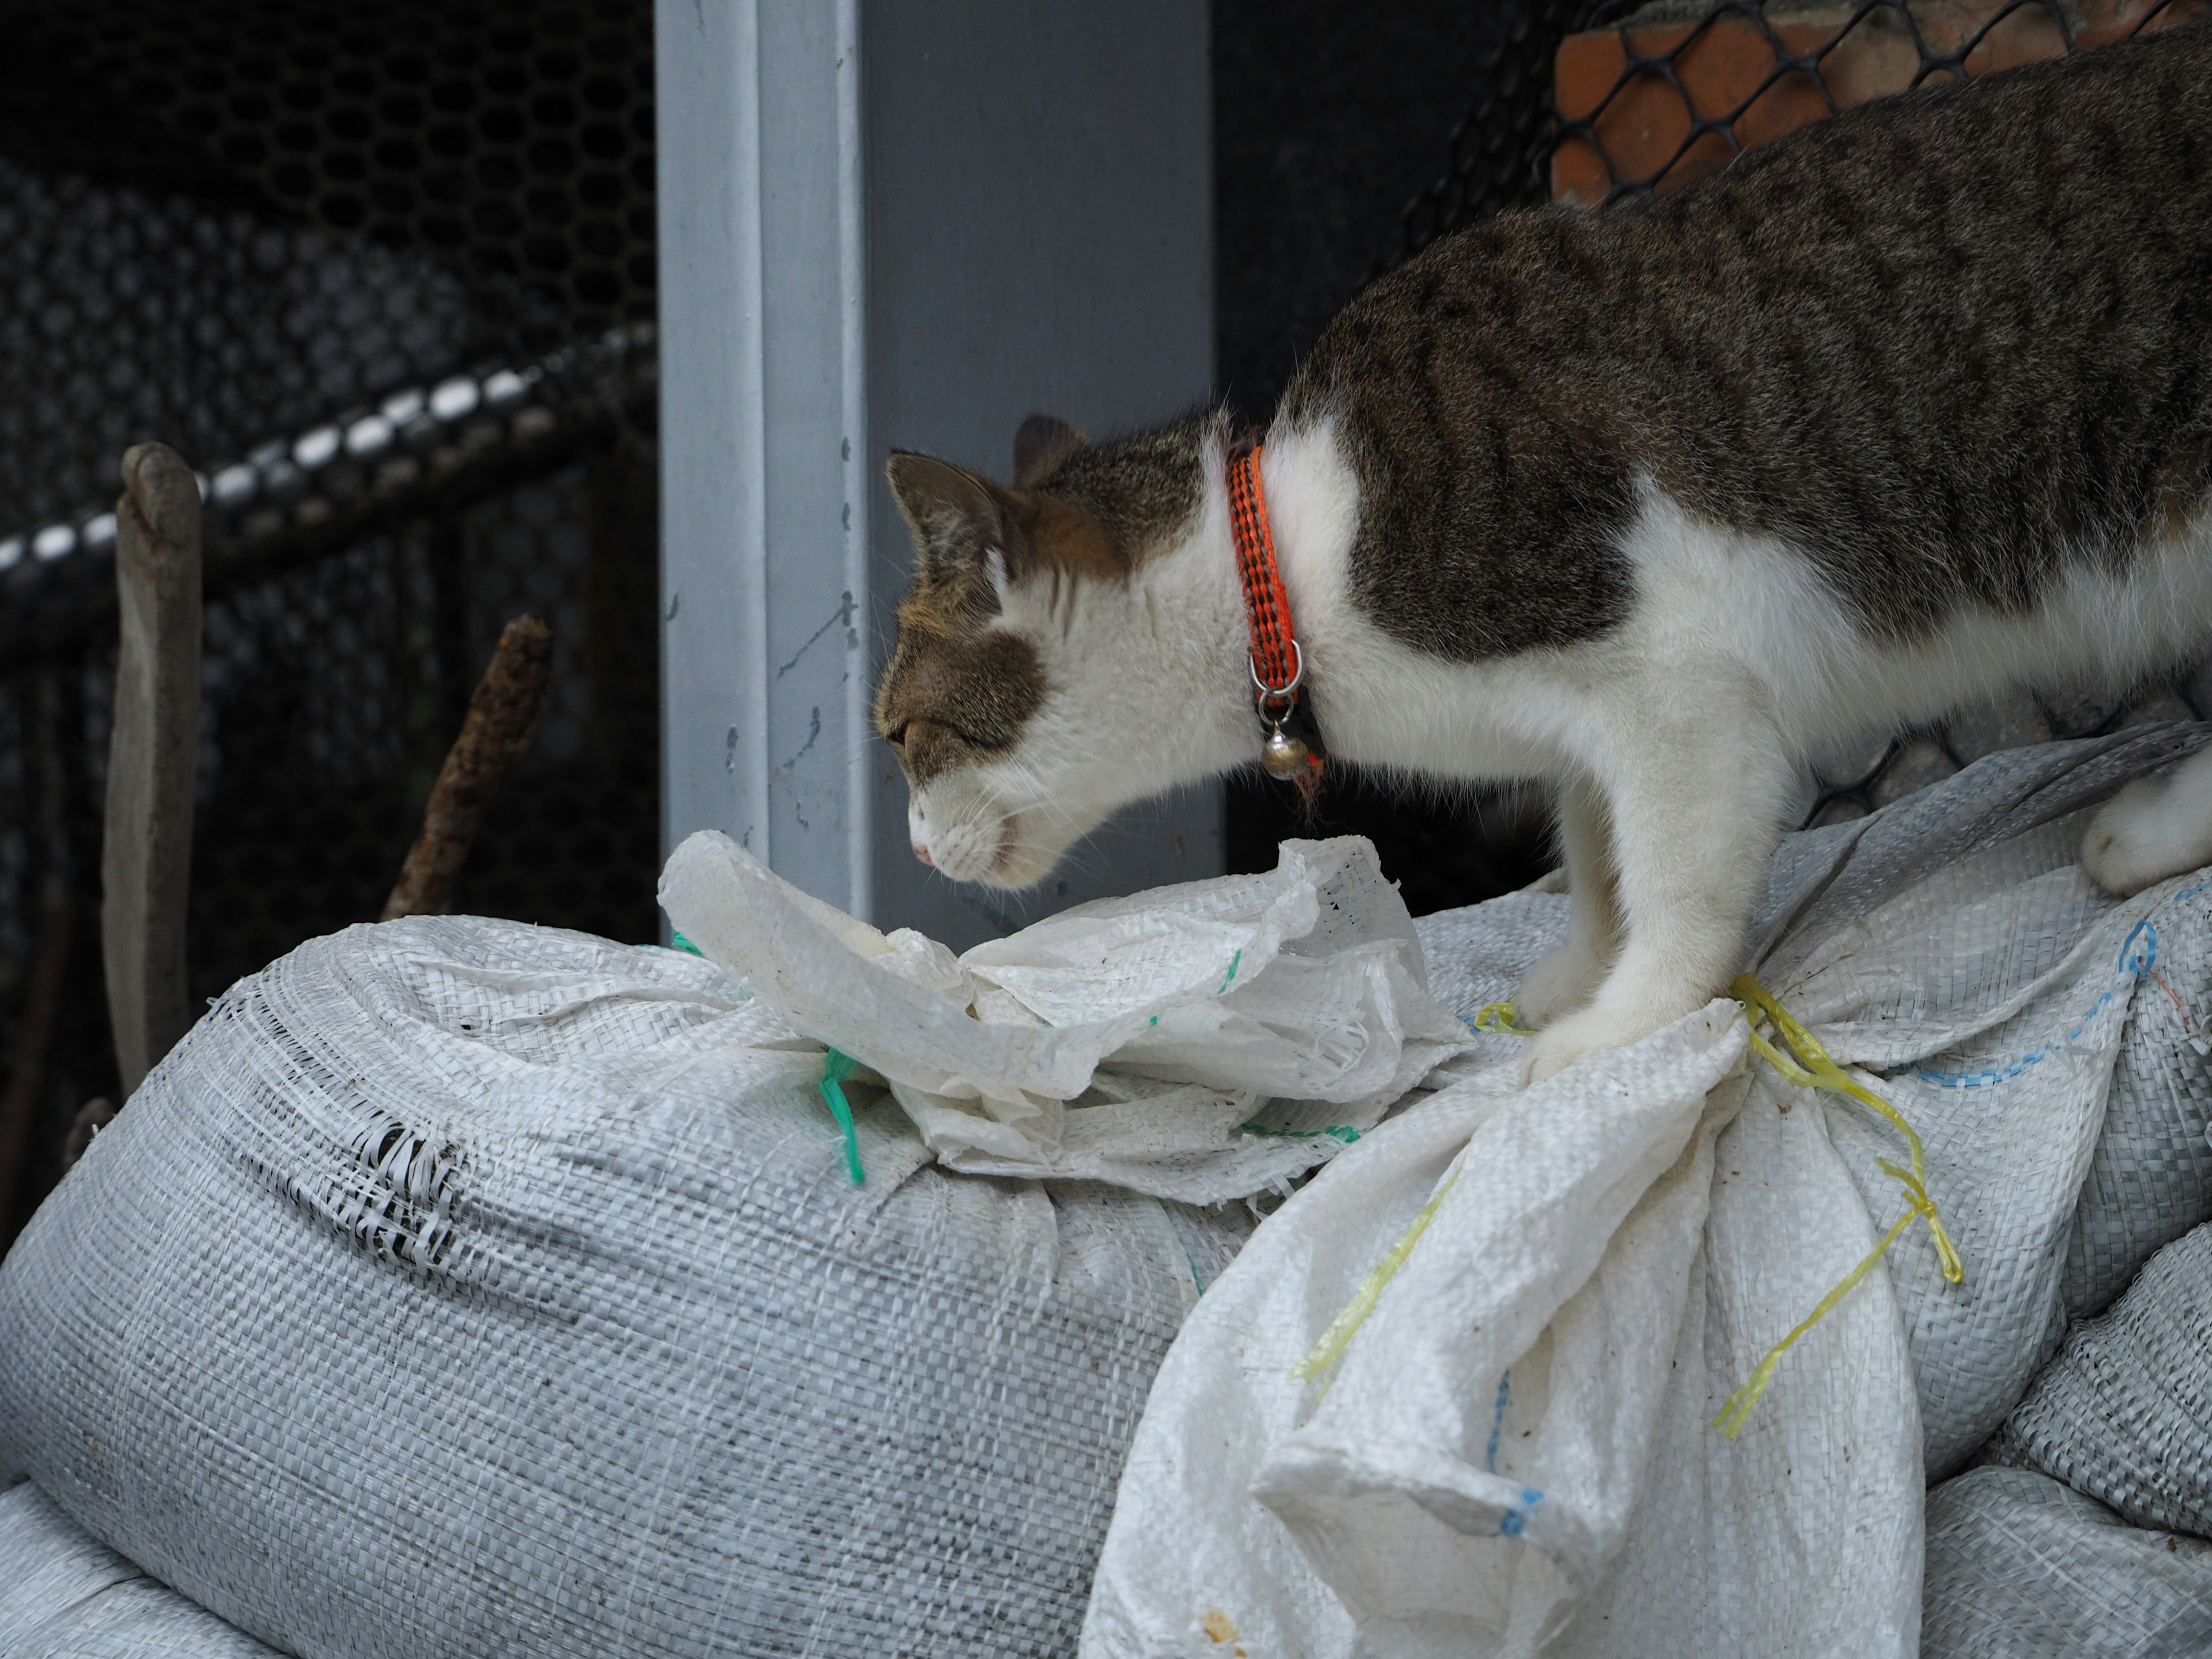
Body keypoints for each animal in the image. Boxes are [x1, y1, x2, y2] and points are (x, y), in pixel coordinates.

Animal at [871, 29, 2212, 1092]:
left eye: (901, 735)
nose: (916, 850)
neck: (1291, 567)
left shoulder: (1684, 693)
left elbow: (1675, 882)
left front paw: (1629, 1022)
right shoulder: (1590, 724)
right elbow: (1594, 845)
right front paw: (1582, 971)